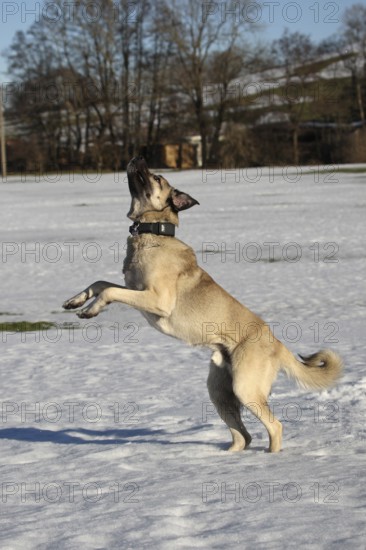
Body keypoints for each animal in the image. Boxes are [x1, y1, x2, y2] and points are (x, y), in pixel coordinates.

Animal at [63, 156, 344, 452]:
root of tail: (278, 344)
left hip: (245, 387)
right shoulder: (134, 289)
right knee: (242, 435)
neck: (154, 234)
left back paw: (270, 457)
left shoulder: (156, 299)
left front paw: (90, 309)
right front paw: (76, 301)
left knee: (274, 426)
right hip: (219, 391)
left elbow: (109, 291)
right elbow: (101, 283)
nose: (138, 158)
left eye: (157, 178)